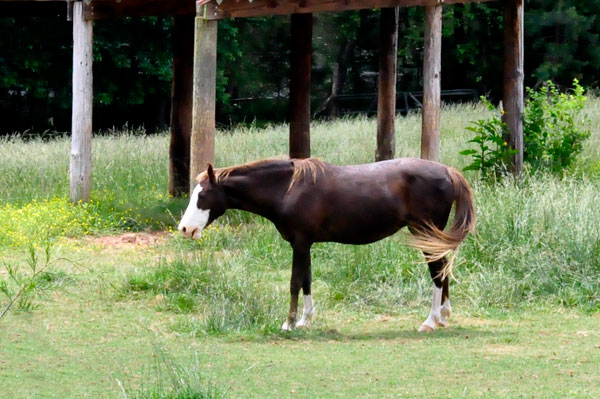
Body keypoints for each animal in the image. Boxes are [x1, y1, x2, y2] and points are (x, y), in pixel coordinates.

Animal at [176, 158, 476, 332]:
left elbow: (295, 282)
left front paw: (288, 323)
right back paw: (444, 315)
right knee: (443, 269)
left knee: (436, 272)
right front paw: (305, 319)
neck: (287, 188)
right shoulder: (304, 244)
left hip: (425, 232)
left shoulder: (299, 244)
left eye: (203, 195)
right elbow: (307, 281)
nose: (185, 229)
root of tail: (447, 171)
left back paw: (431, 320)